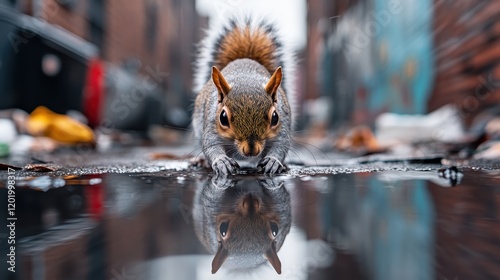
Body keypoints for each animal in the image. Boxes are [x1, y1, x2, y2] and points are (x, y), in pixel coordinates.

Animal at [190, 16, 292, 174]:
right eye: (223, 118)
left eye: (275, 118)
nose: (251, 150)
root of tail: (245, 59)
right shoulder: (211, 125)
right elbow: (210, 145)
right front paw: (221, 161)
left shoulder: (282, 127)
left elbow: (281, 145)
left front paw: (273, 161)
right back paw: (202, 161)